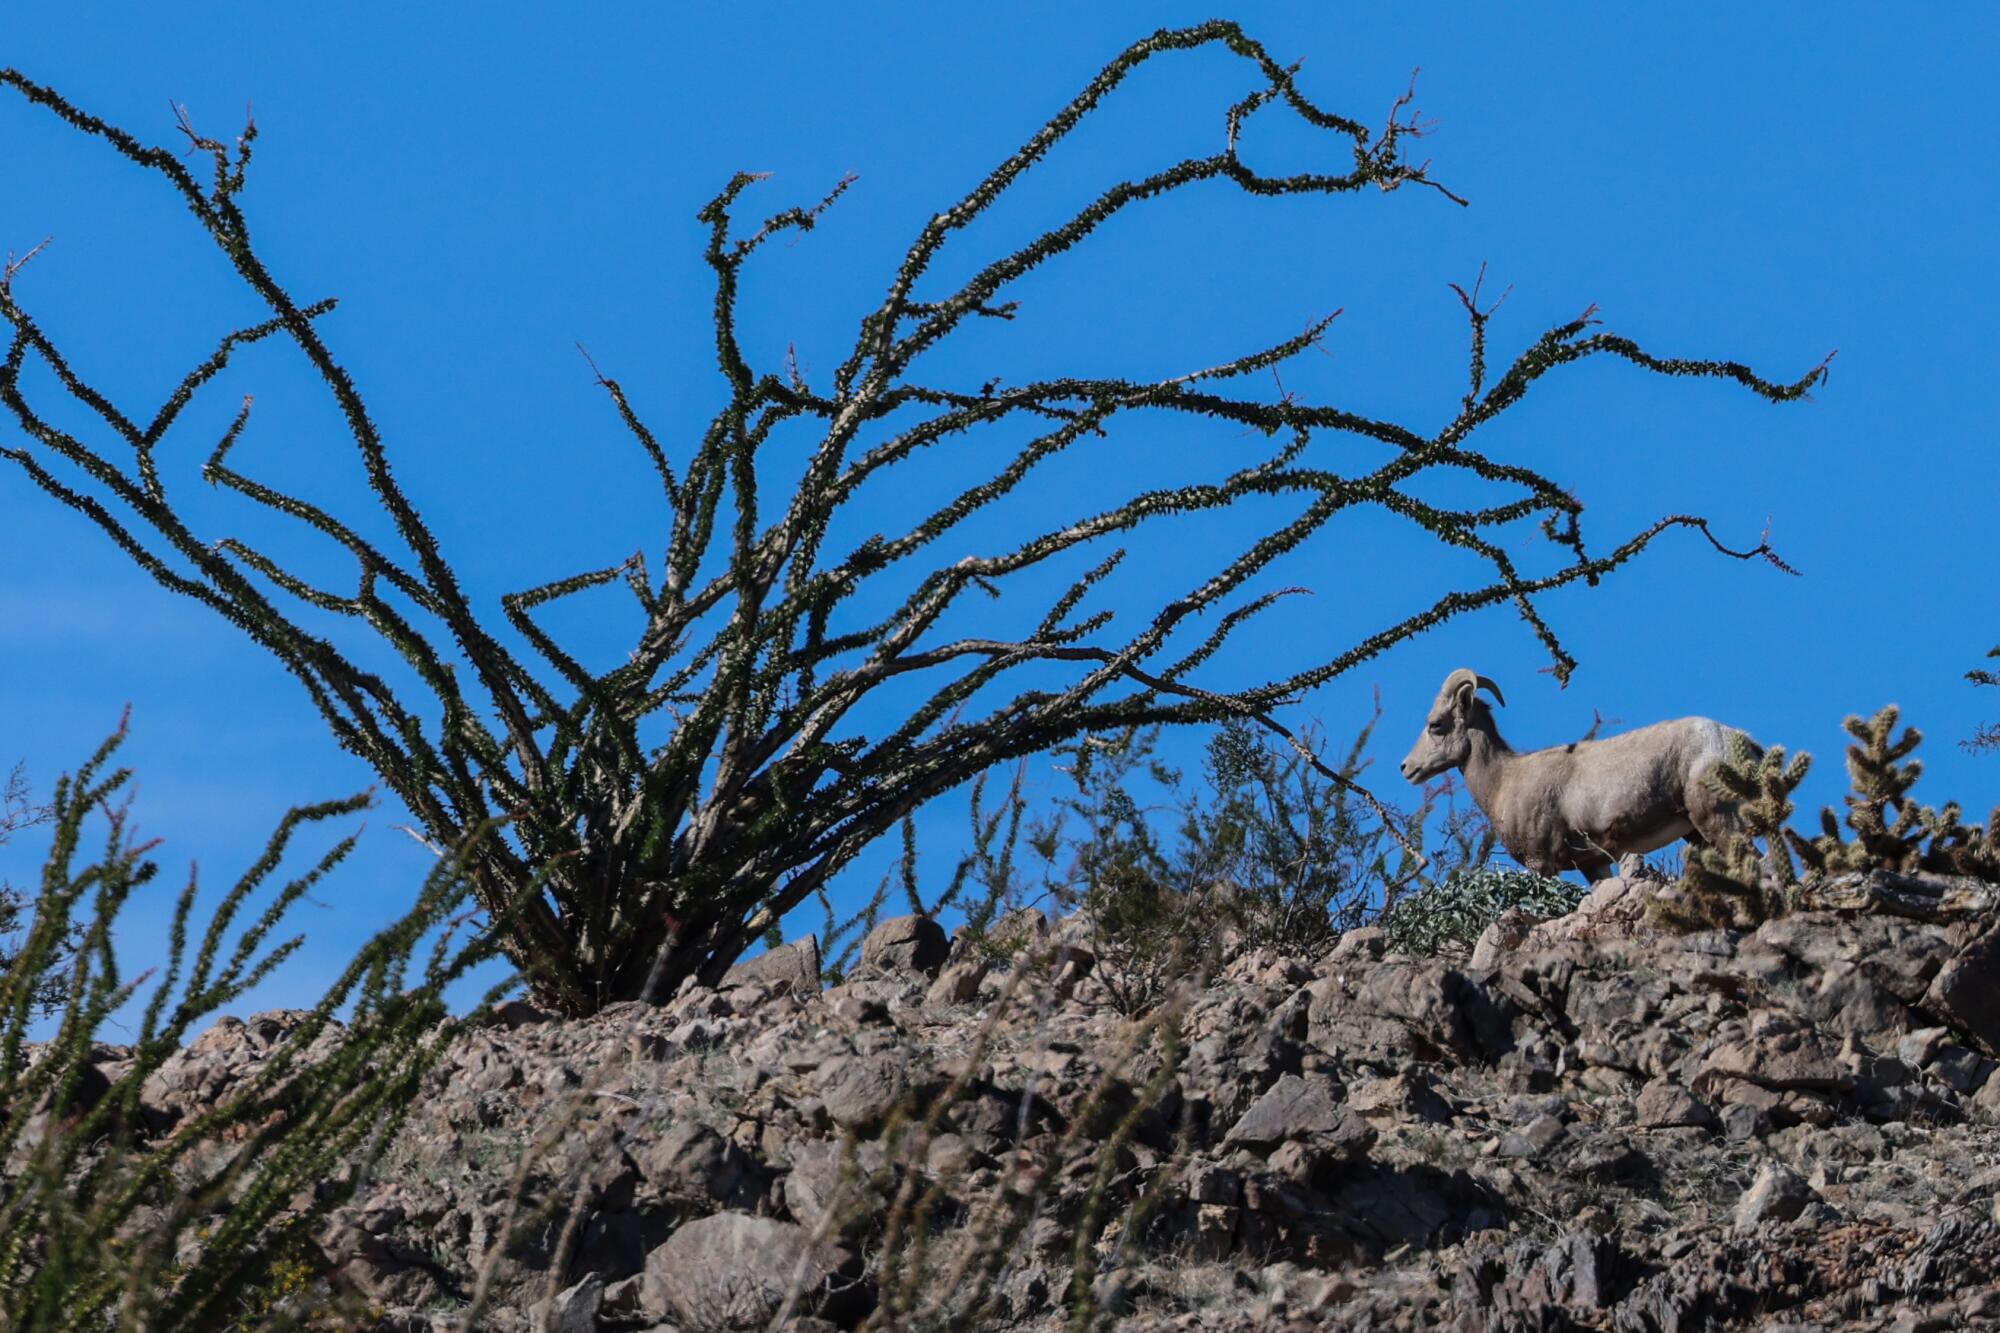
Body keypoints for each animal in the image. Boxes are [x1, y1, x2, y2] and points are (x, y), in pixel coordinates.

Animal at [1399, 668, 1756, 880]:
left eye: (1436, 724)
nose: (1406, 768)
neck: (1503, 780)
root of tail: (1738, 740)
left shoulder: (1541, 864)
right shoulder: (1593, 864)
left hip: (1718, 822)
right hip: (1696, 833)